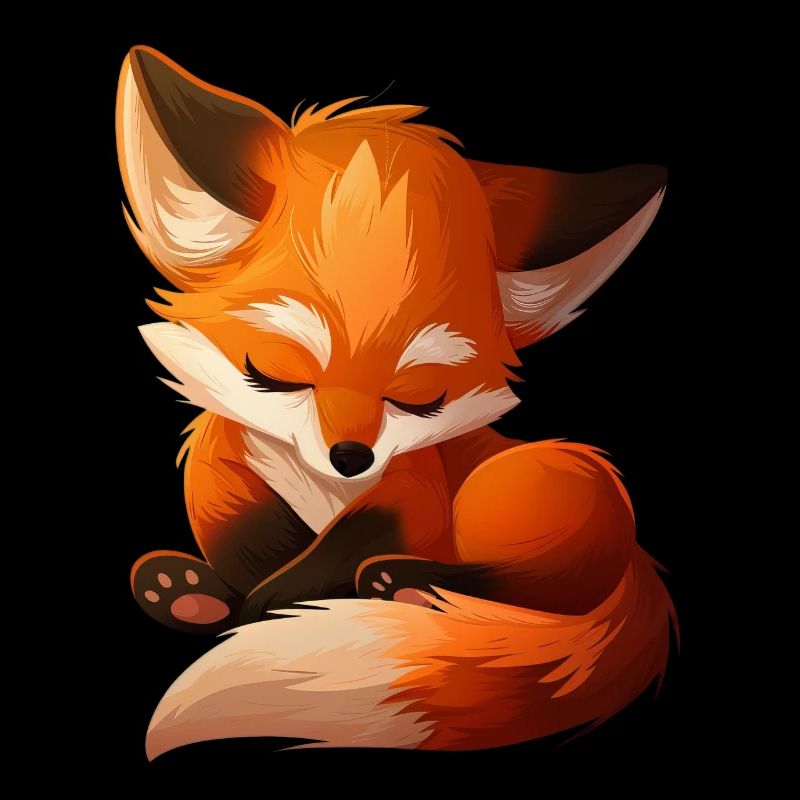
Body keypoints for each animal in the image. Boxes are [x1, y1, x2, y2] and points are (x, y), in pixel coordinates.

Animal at [118, 46, 676, 757]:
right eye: (275, 374)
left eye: (420, 397)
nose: (351, 456)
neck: (317, 486)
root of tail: (639, 560)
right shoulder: (224, 476)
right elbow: (249, 542)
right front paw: (226, 597)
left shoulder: (414, 497)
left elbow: (338, 550)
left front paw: (268, 607)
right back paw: (185, 592)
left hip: (505, 490)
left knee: (546, 582)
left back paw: (408, 587)